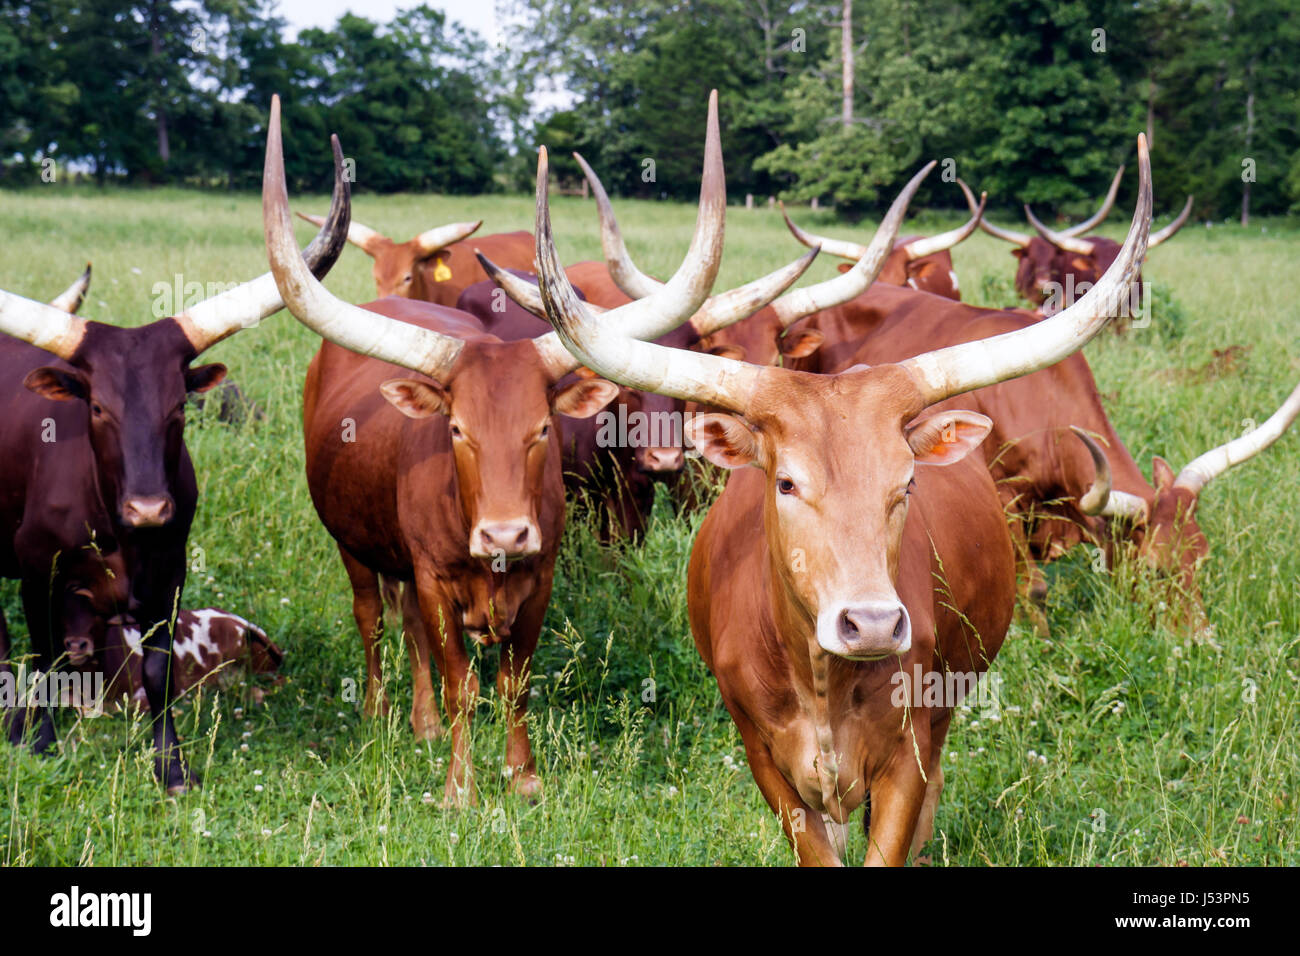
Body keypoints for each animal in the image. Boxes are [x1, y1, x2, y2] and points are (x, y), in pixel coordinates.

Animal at [0, 136, 351, 790]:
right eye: (98, 408)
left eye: (179, 407)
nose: (148, 508)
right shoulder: (38, 570)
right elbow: (41, 652)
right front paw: (37, 740)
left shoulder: (170, 573)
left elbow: (159, 676)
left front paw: (172, 766)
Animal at [530, 136, 1159, 868]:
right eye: (785, 483)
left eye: (906, 483)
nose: (874, 625)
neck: (821, 679)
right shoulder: (768, 763)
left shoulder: (908, 754)